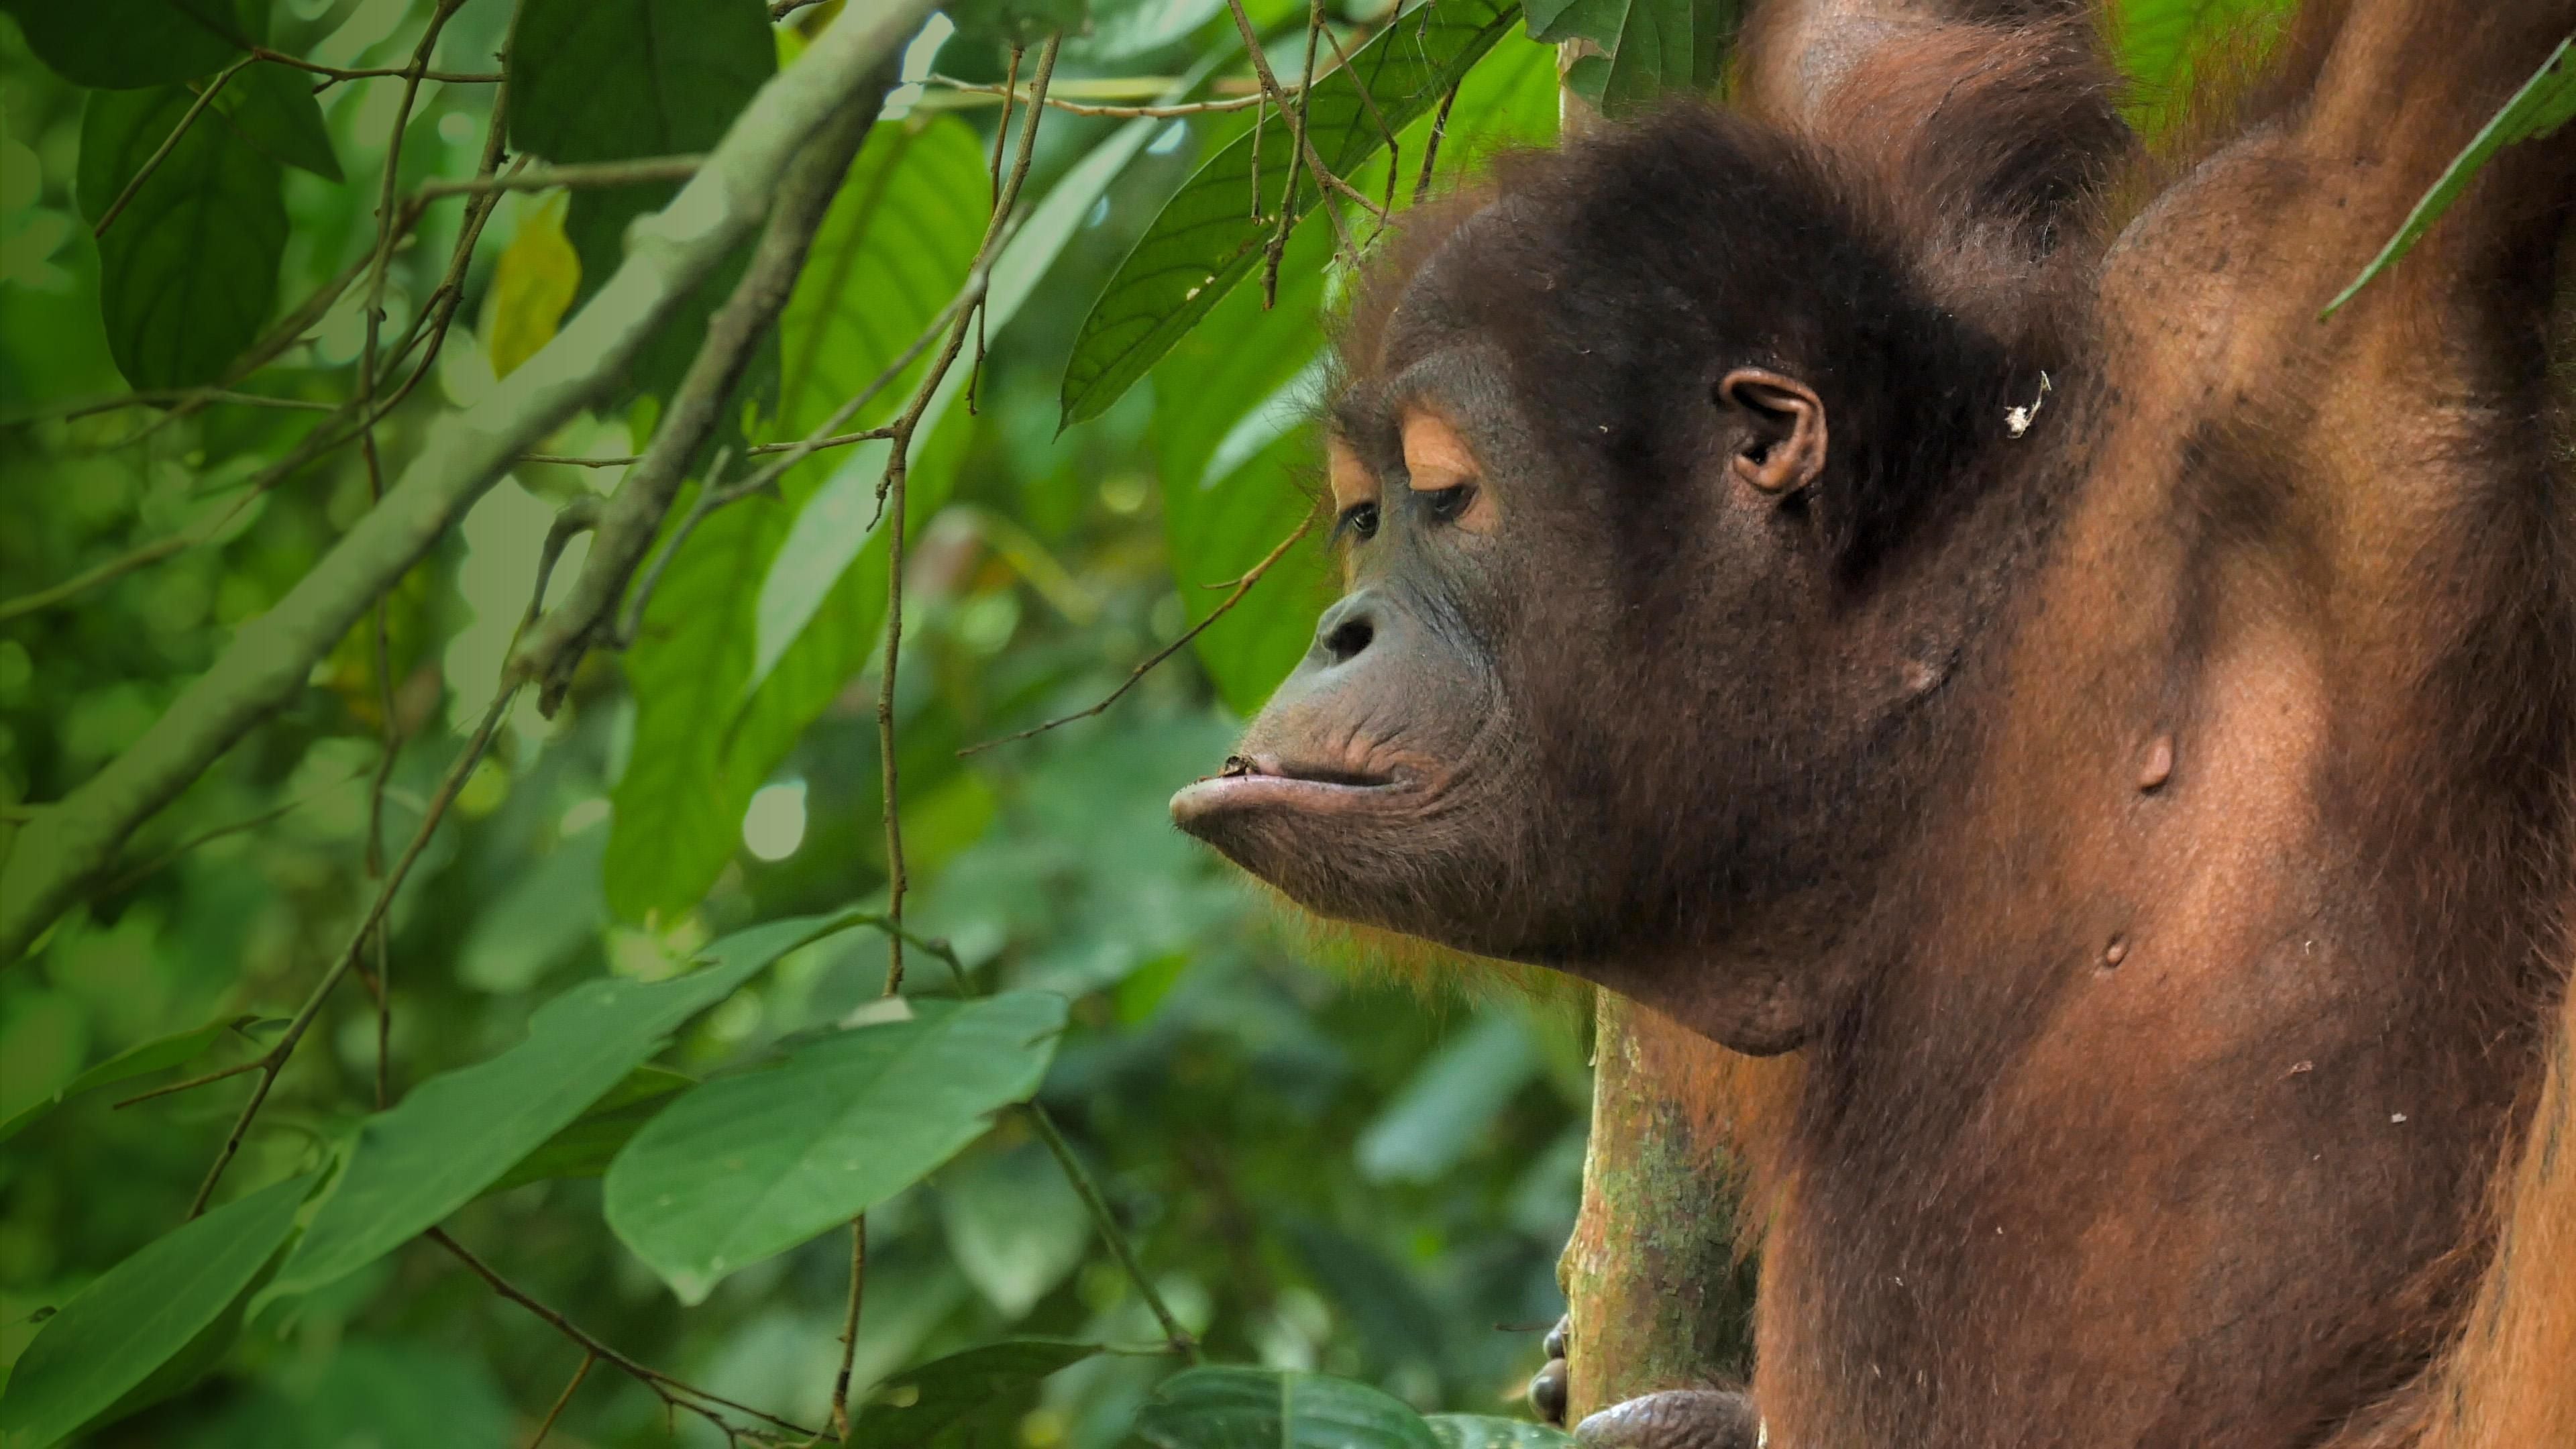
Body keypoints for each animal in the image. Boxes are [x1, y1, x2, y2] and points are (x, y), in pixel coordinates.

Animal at [1169, 2, 2576, 1444]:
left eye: (1447, 499)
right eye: (1363, 517)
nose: (1343, 630)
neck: (1926, 679)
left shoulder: (2278, 306)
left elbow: (2416, 94)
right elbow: (1888, 55)